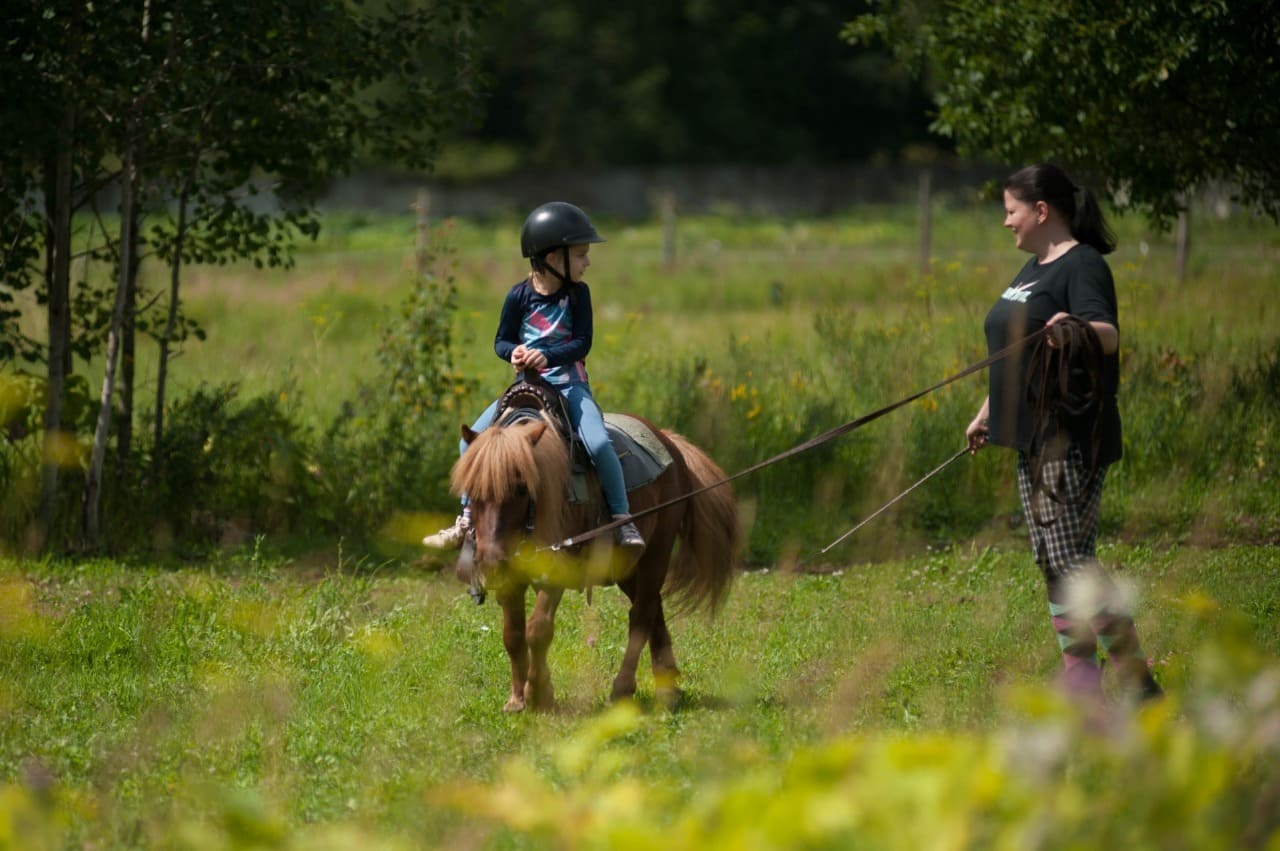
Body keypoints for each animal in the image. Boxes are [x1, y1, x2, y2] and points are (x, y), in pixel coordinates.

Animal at [450, 412, 742, 711]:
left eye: (521, 489)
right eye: (471, 490)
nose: (490, 562)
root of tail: (669, 442)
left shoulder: (555, 572)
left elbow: (538, 629)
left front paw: (538, 694)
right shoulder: (510, 580)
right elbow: (513, 635)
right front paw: (518, 698)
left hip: (656, 554)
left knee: (641, 616)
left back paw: (622, 689)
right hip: (628, 570)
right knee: (653, 609)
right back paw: (667, 687)